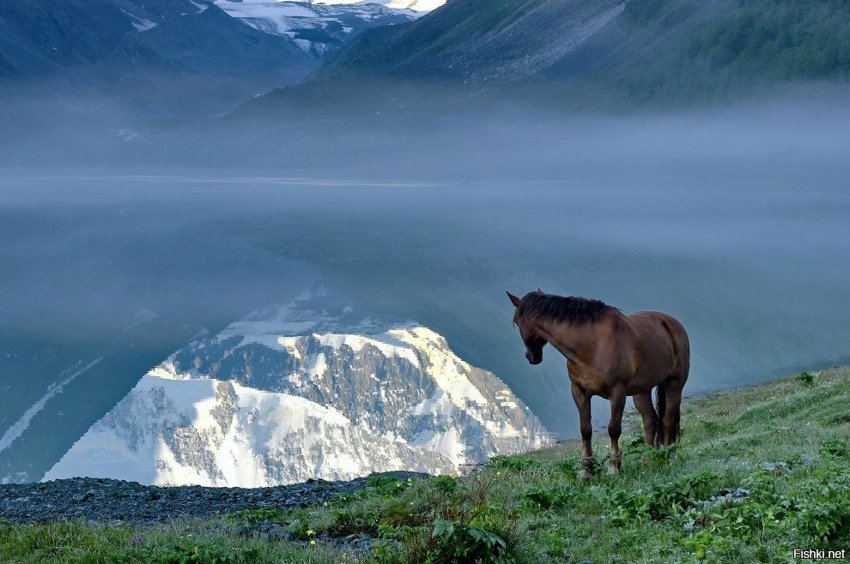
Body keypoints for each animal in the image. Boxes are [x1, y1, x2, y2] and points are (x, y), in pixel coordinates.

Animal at [506, 288, 684, 478]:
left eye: (517, 322)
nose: (530, 357)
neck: (592, 345)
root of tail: (671, 323)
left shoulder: (617, 393)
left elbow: (614, 429)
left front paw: (614, 466)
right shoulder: (579, 391)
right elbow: (585, 429)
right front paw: (587, 469)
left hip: (674, 384)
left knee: (667, 420)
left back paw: (667, 456)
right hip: (641, 391)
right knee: (650, 420)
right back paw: (647, 460)